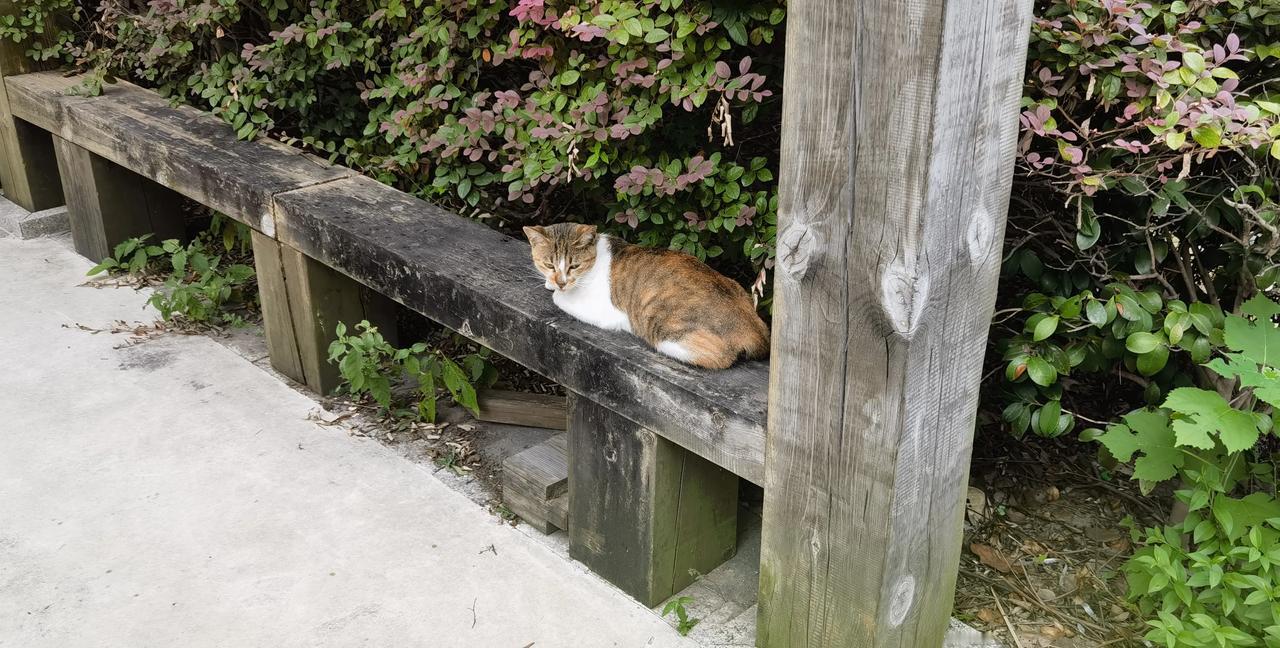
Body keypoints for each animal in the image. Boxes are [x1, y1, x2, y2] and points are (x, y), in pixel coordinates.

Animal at [522, 221, 768, 368]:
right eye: (549, 264)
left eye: (574, 266)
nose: (561, 281)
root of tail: (755, 328)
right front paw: (549, 283)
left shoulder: (603, 311)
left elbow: (559, 299)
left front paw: (556, 291)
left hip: (662, 328)